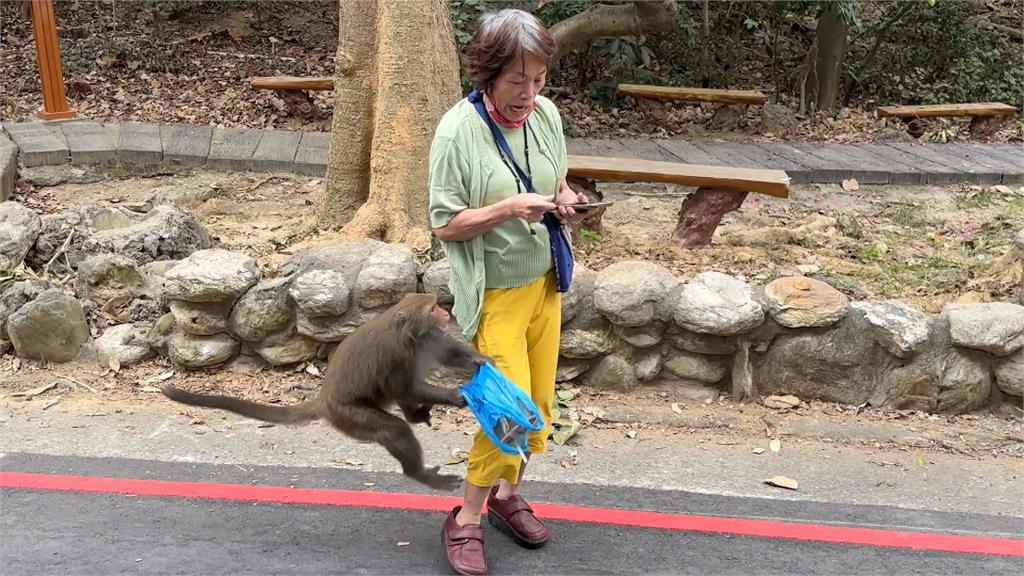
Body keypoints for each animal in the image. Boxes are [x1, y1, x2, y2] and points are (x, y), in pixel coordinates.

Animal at [160, 291, 491, 487]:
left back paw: (415, 418)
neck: (414, 336)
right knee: (393, 429)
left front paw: (479, 360)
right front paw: (455, 395)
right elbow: (405, 388)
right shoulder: (396, 353)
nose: (445, 312)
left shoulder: (431, 338)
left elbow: (448, 354)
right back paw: (418, 472)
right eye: (433, 308)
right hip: (347, 415)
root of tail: (324, 399)